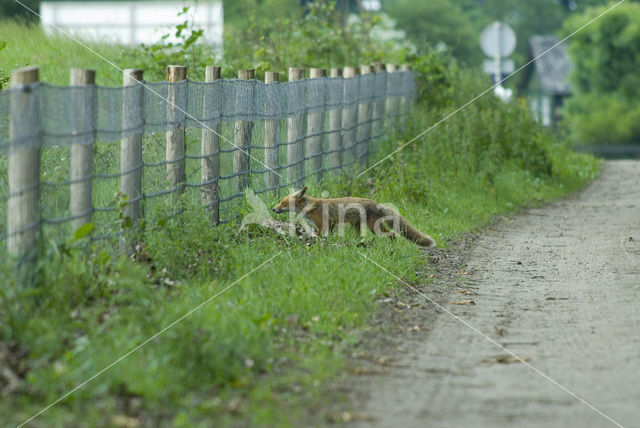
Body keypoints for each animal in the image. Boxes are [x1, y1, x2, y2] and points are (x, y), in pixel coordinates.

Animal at [270, 187, 436, 247]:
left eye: (283, 203)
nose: (273, 209)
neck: (310, 207)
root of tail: (376, 203)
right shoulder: (331, 224)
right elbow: (327, 236)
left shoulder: (323, 224)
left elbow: (319, 235)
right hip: (358, 226)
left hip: (373, 227)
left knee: (393, 235)